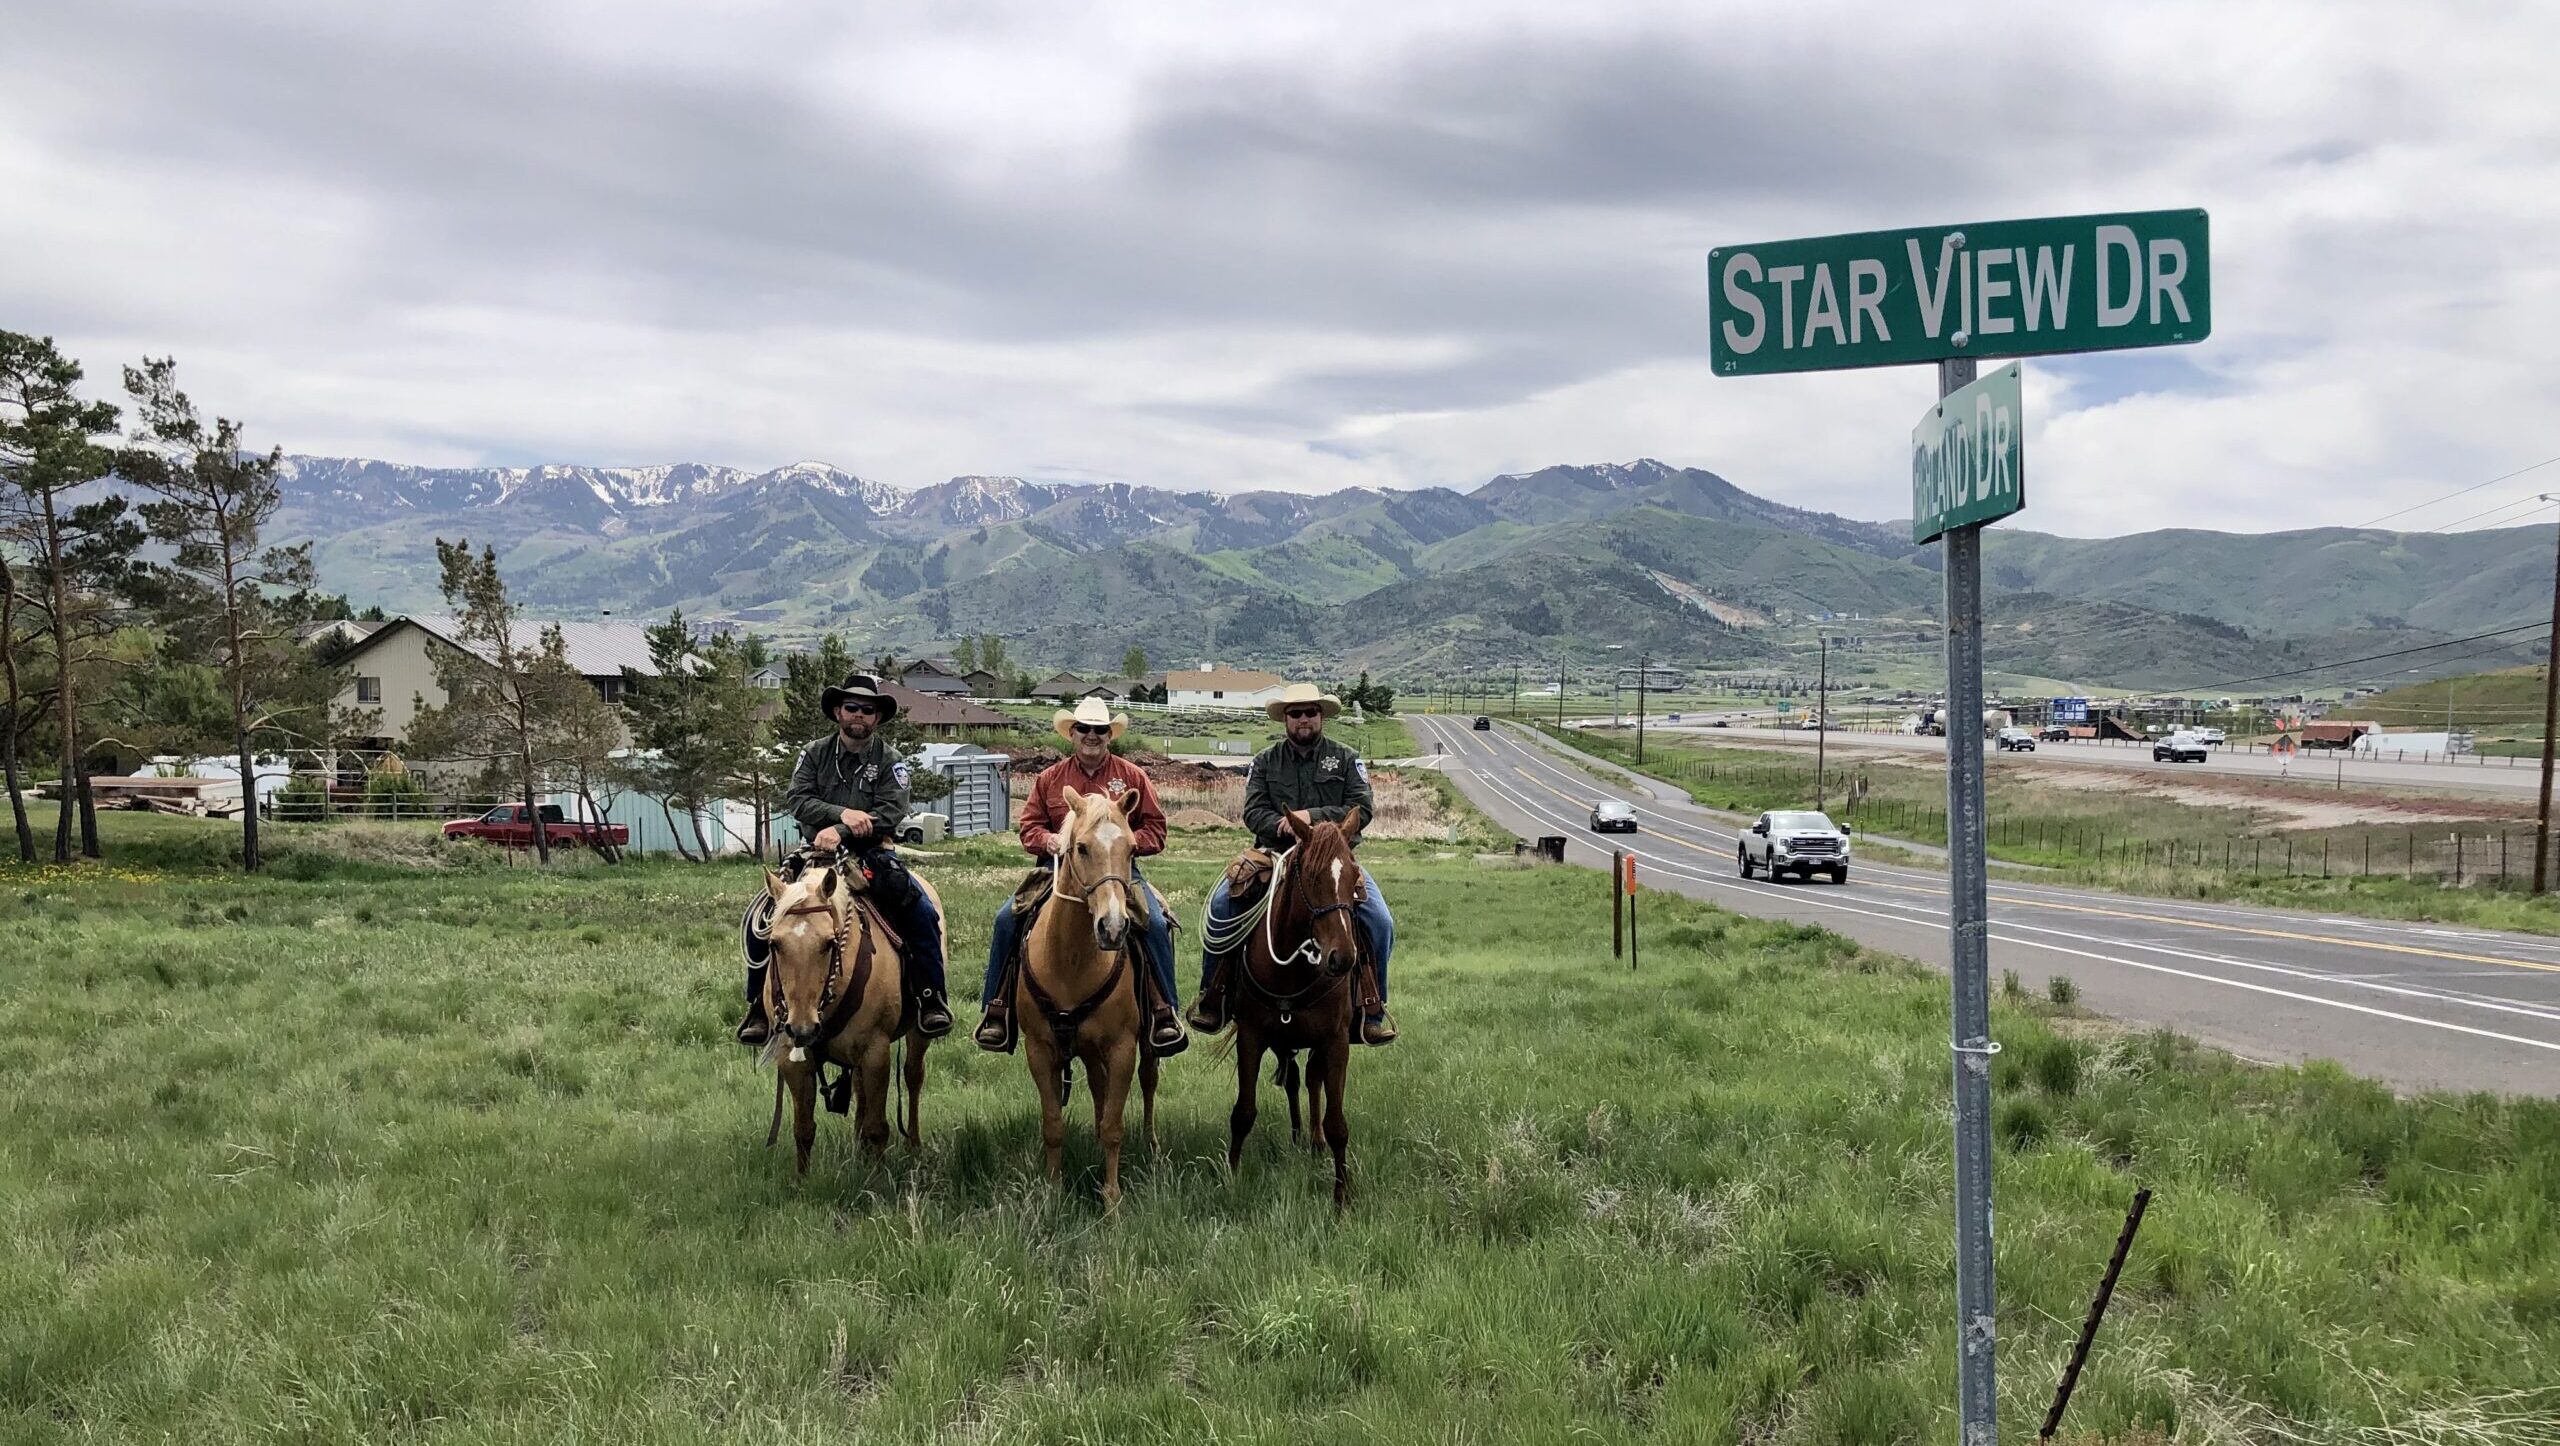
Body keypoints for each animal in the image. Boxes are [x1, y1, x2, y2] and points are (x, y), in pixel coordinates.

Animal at [757, 854, 942, 1172]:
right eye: (774, 944)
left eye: (829, 943)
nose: (803, 1028)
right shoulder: (793, 1059)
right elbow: (803, 1128)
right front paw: (801, 1182)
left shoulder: (876, 1053)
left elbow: (878, 1128)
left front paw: (879, 1180)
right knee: (858, 1088)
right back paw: (859, 1148)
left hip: (918, 1034)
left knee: (913, 1076)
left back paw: (913, 1144)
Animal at [1018, 783, 1172, 1213]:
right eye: (1081, 847)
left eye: (1132, 848)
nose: (1114, 927)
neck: (1070, 960)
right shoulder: (1039, 1050)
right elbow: (1053, 1124)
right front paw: (1054, 1191)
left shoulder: (1122, 1048)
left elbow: (1114, 1127)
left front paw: (1112, 1200)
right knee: (1099, 1089)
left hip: (1145, 1046)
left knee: (1148, 1081)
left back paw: (1152, 1144)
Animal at [1228, 798, 1372, 1207]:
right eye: (1310, 875)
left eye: (1354, 875)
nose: (1342, 958)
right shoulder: (1250, 1036)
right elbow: (1243, 1112)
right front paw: (1231, 1179)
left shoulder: (1336, 1042)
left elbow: (1336, 1122)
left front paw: (1341, 1196)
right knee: (1294, 1079)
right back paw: (1297, 1135)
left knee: (1310, 1080)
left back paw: (1313, 1140)